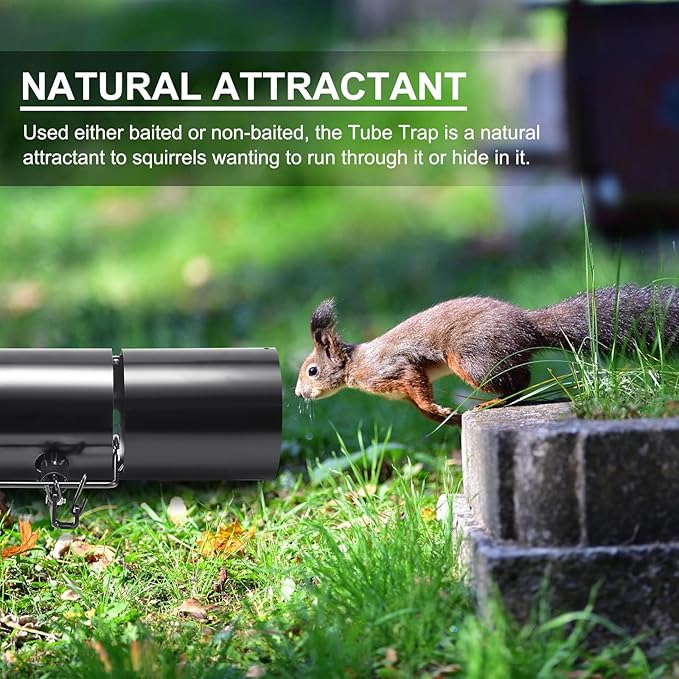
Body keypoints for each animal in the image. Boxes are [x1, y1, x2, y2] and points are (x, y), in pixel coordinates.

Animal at [295, 285, 679, 425]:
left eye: (312, 370)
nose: (298, 394)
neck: (356, 365)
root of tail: (528, 325)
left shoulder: (395, 368)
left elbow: (417, 385)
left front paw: (438, 410)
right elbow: (416, 403)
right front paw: (440, 417)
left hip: (470, 357)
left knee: (518, 381)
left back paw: (493, 403)